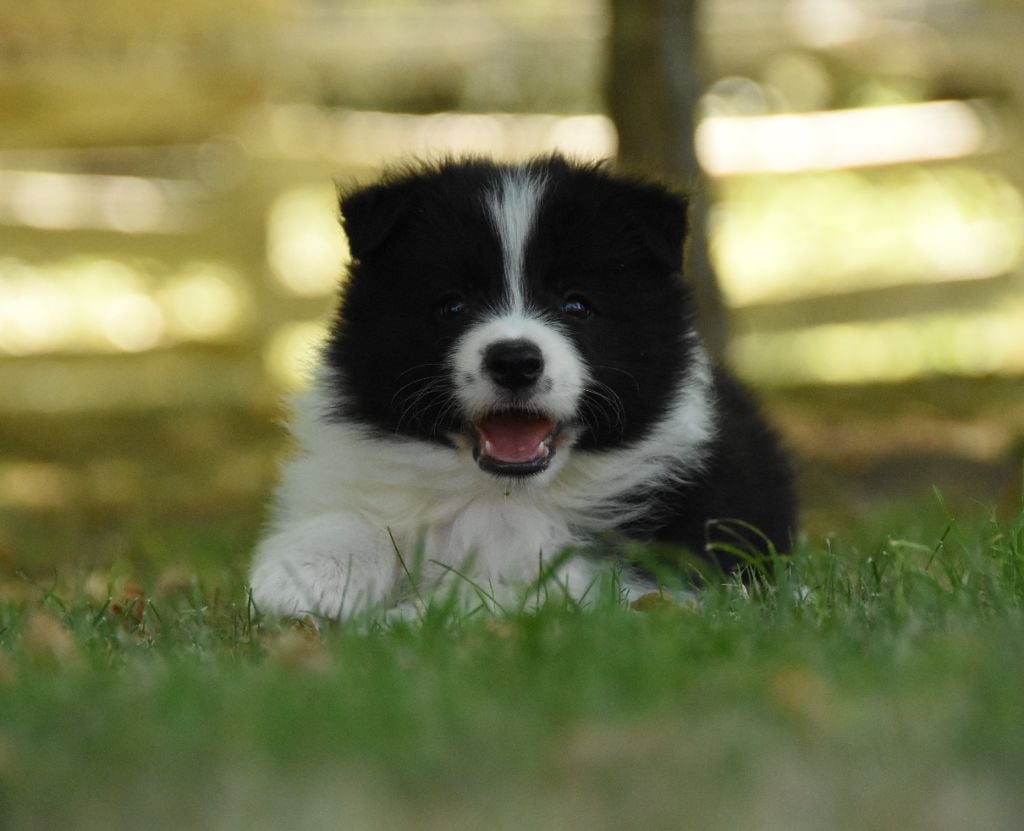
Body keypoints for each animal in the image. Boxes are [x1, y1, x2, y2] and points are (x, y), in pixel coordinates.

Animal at [251, 155, 794, 618]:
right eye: (453, 305)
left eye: (577, 304)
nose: (514, 362)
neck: (503, 496)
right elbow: (356, 517)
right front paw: (304, 577)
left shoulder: (650, 567)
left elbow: (532, 586)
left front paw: (417, 616)